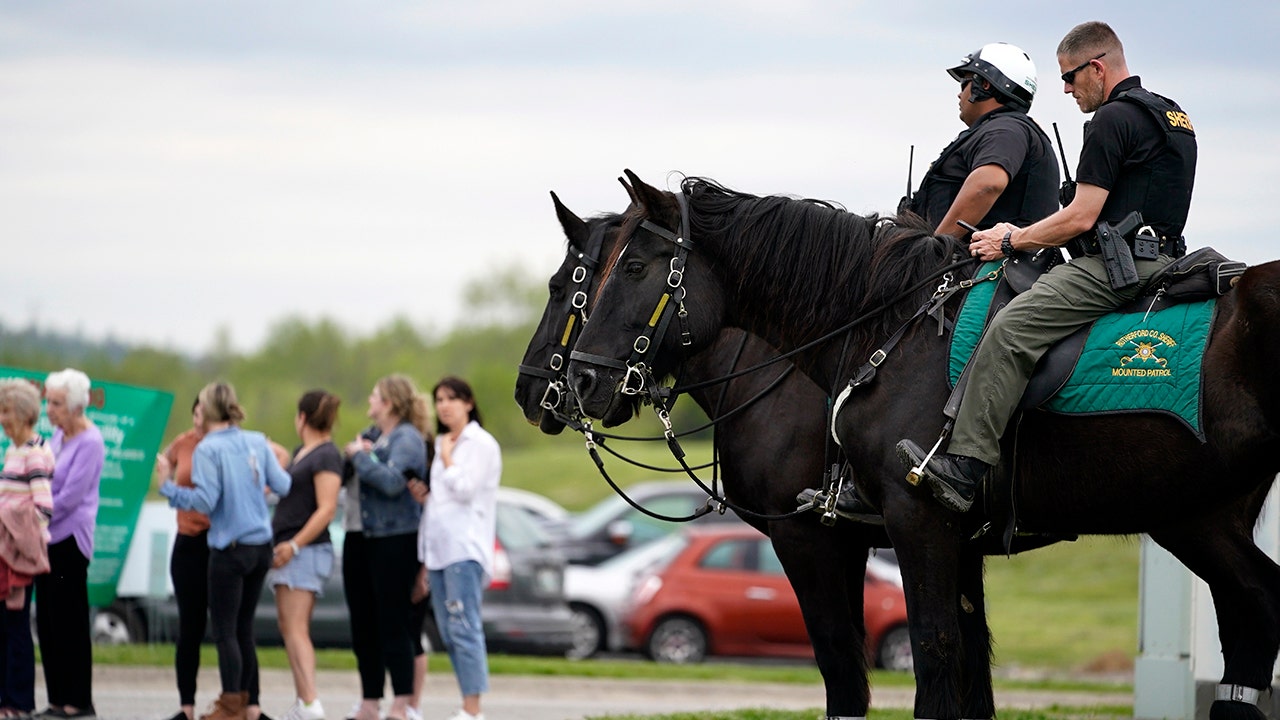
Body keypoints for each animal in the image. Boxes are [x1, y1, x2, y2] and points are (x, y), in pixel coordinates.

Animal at [570, 170, 1280, 717]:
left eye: (633, 267)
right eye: (583, 280)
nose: (577, 382)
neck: (890, 325)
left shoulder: (895, 524)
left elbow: (918, 659)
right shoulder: (946, 543)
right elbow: (964, 670)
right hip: (1198, 517)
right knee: (1256, 612)